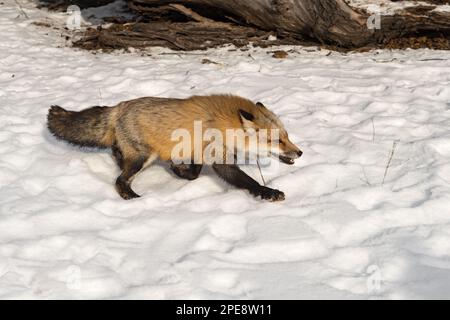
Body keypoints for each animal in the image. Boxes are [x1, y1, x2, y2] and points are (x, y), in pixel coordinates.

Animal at [47, 94, 302, 201]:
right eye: (277, 141)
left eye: (287, 136)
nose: (299, 152)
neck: (227, 124)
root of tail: (119, 106)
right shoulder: (219, 159)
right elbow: (249, 181)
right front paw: (268, 192)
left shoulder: (200, 150)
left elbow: (194, 173)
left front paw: (179, 171)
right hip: (143, 158)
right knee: (119, 181)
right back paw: (131, 197)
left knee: (117, 157)